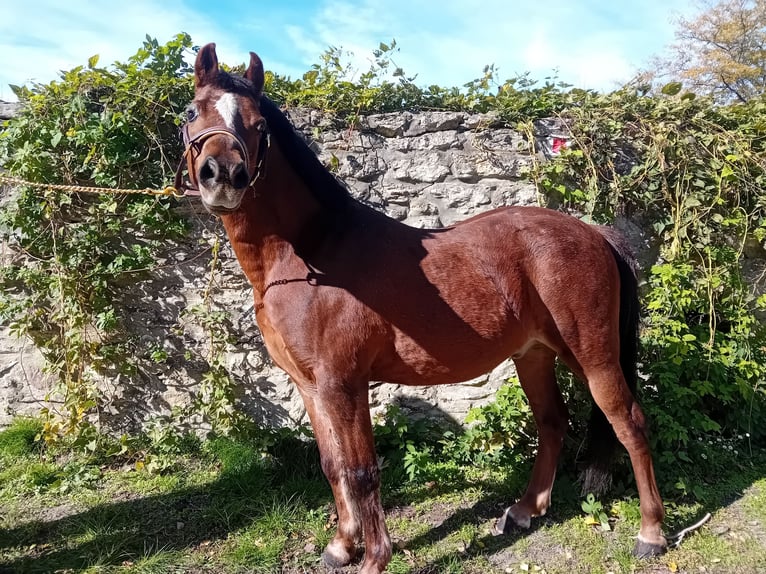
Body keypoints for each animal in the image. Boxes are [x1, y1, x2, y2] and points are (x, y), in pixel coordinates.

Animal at [178, 42, 664, 572]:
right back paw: (524, 510)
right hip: (533, 354)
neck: (311, 254)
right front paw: (341, 546)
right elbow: (332, 465)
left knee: (630, 423)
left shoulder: (343, 384)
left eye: (259, 123)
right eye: (191, 113)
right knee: (553, 422)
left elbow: (362, 470)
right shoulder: (310, 386)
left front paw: (373, 558)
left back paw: (652, 533)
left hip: (593, 355)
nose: (223, 175)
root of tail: (594, 233)